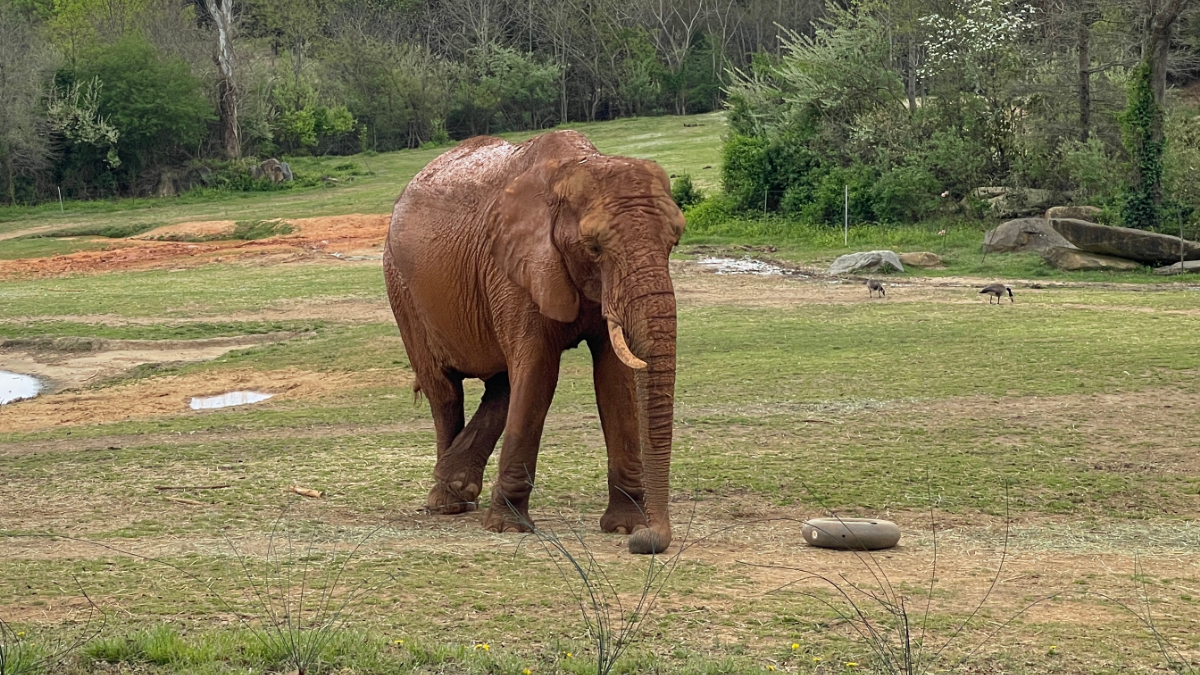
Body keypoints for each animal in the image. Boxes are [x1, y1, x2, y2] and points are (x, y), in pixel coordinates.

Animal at [382, 130, 685, 554]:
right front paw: (509, 528)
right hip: (401, 288)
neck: (573, 169)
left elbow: (614, 379)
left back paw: (456, 484)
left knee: (502, 384)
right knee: (444, 394)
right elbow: (540, 371)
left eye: (675, 242)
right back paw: (448, 503)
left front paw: (625, 526)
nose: (649, 541)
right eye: (594, 247)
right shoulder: (513, 270)